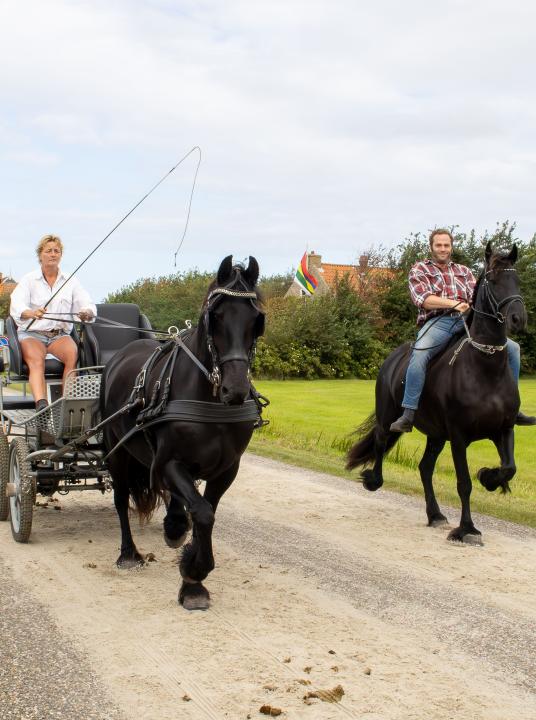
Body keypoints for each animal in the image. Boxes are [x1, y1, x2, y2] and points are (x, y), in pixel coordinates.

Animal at [99, 256, 264, 612]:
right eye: (215, 316)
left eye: (257, 319)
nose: (235, 389)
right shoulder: (167, 462)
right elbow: (202, 512)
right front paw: (194, 573)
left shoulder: (227, 469)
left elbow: (206, 511)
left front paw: (192, 580)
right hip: (117, 451)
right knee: (121, 499)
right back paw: (129, 553)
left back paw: (174, 525)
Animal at [346, 245, 524, 544]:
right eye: (492, 279)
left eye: (517, 278)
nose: (518, 318)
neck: (484, 367)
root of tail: (392, 358)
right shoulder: (459, 435)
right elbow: (464, 483)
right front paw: (467, 529)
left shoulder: (503, 428)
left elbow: (509, 468)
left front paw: (490, 478)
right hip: (388, 416)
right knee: (381, 442)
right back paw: (373, 480)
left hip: (436, 435)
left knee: (425, 468)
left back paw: (436, 515)